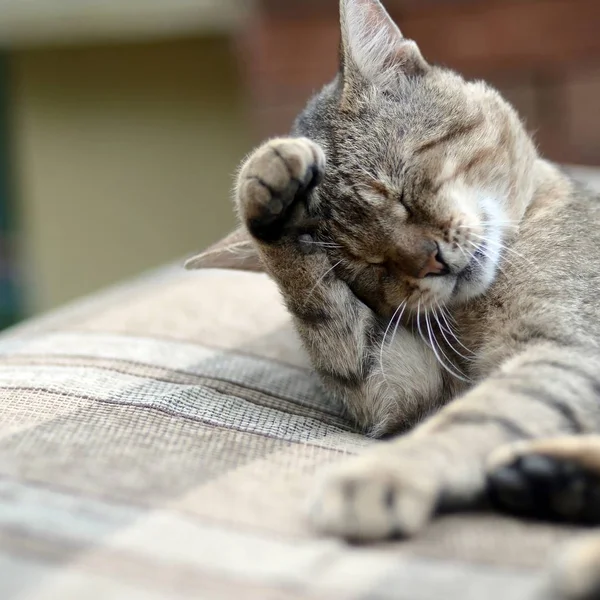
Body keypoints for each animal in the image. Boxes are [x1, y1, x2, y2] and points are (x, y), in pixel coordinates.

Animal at [200, 2, 600, 596]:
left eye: (400, 190)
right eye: (366, 265)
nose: (432, 261)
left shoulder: (570, 347)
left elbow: (480, 416)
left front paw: (383, 474)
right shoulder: (403, 384)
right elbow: (329, 321)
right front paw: (270, 202)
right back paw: (550, 480)